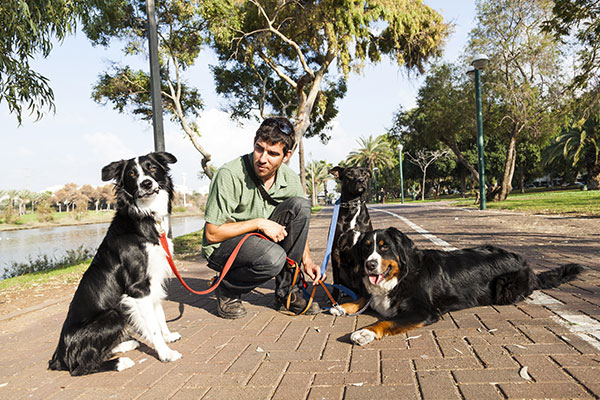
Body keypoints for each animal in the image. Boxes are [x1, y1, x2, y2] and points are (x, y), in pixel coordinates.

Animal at [49, 151, 182, 376]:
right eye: (132, 174)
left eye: (152, 168)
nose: (146, 183)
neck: (144, 216)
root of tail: (59, 357)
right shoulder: (138, 287)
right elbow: (152, 325)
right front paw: (165, 353)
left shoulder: (153, 280)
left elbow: (159, 314)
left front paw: (167, 336)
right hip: (113, 314)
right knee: (80, 367)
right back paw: (120, 362)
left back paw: (126, 344)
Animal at [330, 166, 372, 300]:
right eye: (349, 174)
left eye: (365, 174)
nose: (361, 180)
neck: (353, 205)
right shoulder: (335, 249)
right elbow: (336, 279)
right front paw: (334, 296)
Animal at [330, 227, 584, 346]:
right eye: (366, 248)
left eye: (384, 247)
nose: (370, 265)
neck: (400, 277)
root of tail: (525, 263)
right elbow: (365, 297)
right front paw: (343, 306)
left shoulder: (423, 311)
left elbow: (385, 321)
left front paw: (365, 332)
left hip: (505, 287)